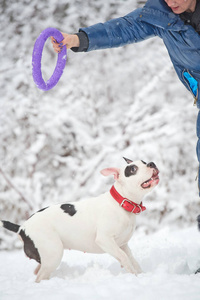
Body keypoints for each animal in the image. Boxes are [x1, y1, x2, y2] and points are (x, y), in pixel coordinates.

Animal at [0, 158, 159, 282]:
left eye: (144, 161)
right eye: (133, 169)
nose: (151, 163)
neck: (121, 203)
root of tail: (22, 227)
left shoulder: (123, 244)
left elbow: (132, 260)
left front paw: (141, 274)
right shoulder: (105, 240)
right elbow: (124, 258)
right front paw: (134, 277)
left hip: (46, 257)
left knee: (38, 270)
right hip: (53, 254)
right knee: (39, 277)